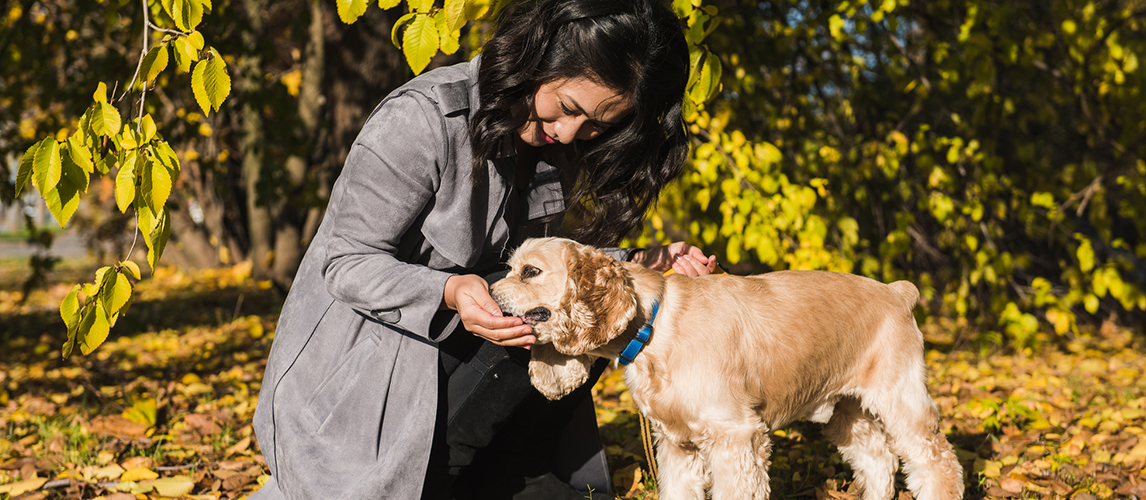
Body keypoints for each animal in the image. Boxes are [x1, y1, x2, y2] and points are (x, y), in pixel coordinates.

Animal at [492, 237, 967, 499]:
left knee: (937, 462)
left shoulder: (735, 437)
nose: (489, 294)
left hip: (902, 401)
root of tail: (897, 291)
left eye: (530, 271)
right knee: (878, 460)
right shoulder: (677, 444)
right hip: (849, 412)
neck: (655, 326)